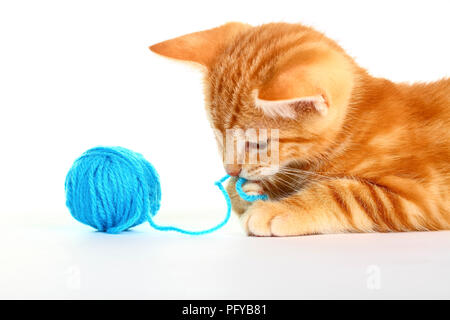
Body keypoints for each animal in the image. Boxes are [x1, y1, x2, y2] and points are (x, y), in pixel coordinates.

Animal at [151, 21, 450, 235]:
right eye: (218, 137)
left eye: (258, 143)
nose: (231, 170)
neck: (351, 129)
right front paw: (247, 190)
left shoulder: (425, 194)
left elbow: (349, 194)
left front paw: (277, 210)